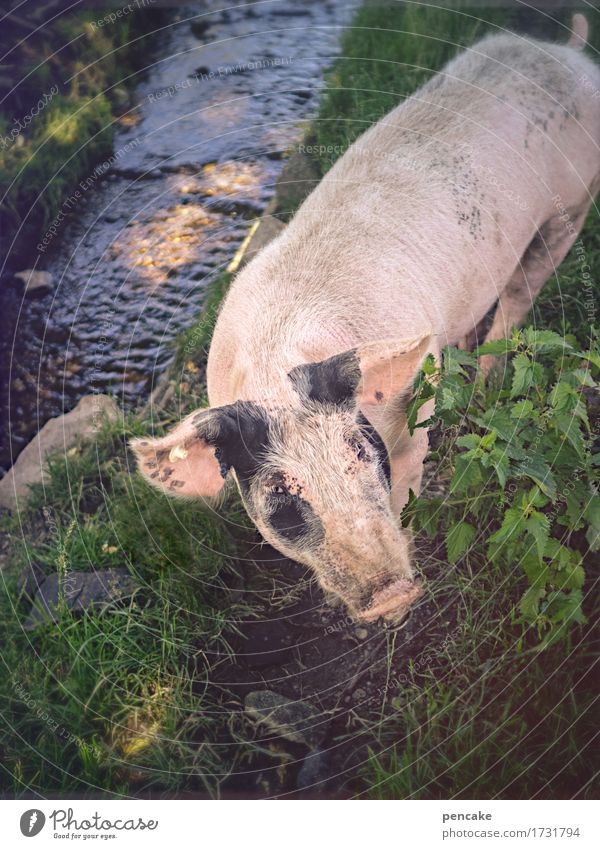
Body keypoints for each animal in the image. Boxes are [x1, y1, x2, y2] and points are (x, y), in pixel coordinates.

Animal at [132, 13, 600, 624]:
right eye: (281, 495)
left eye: (357, 451)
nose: (391, 592)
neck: (276, 361)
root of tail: (565, 53)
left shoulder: (412, 417)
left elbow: (407, 481)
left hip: (572, 207)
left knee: (522, 292)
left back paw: (484, 378)